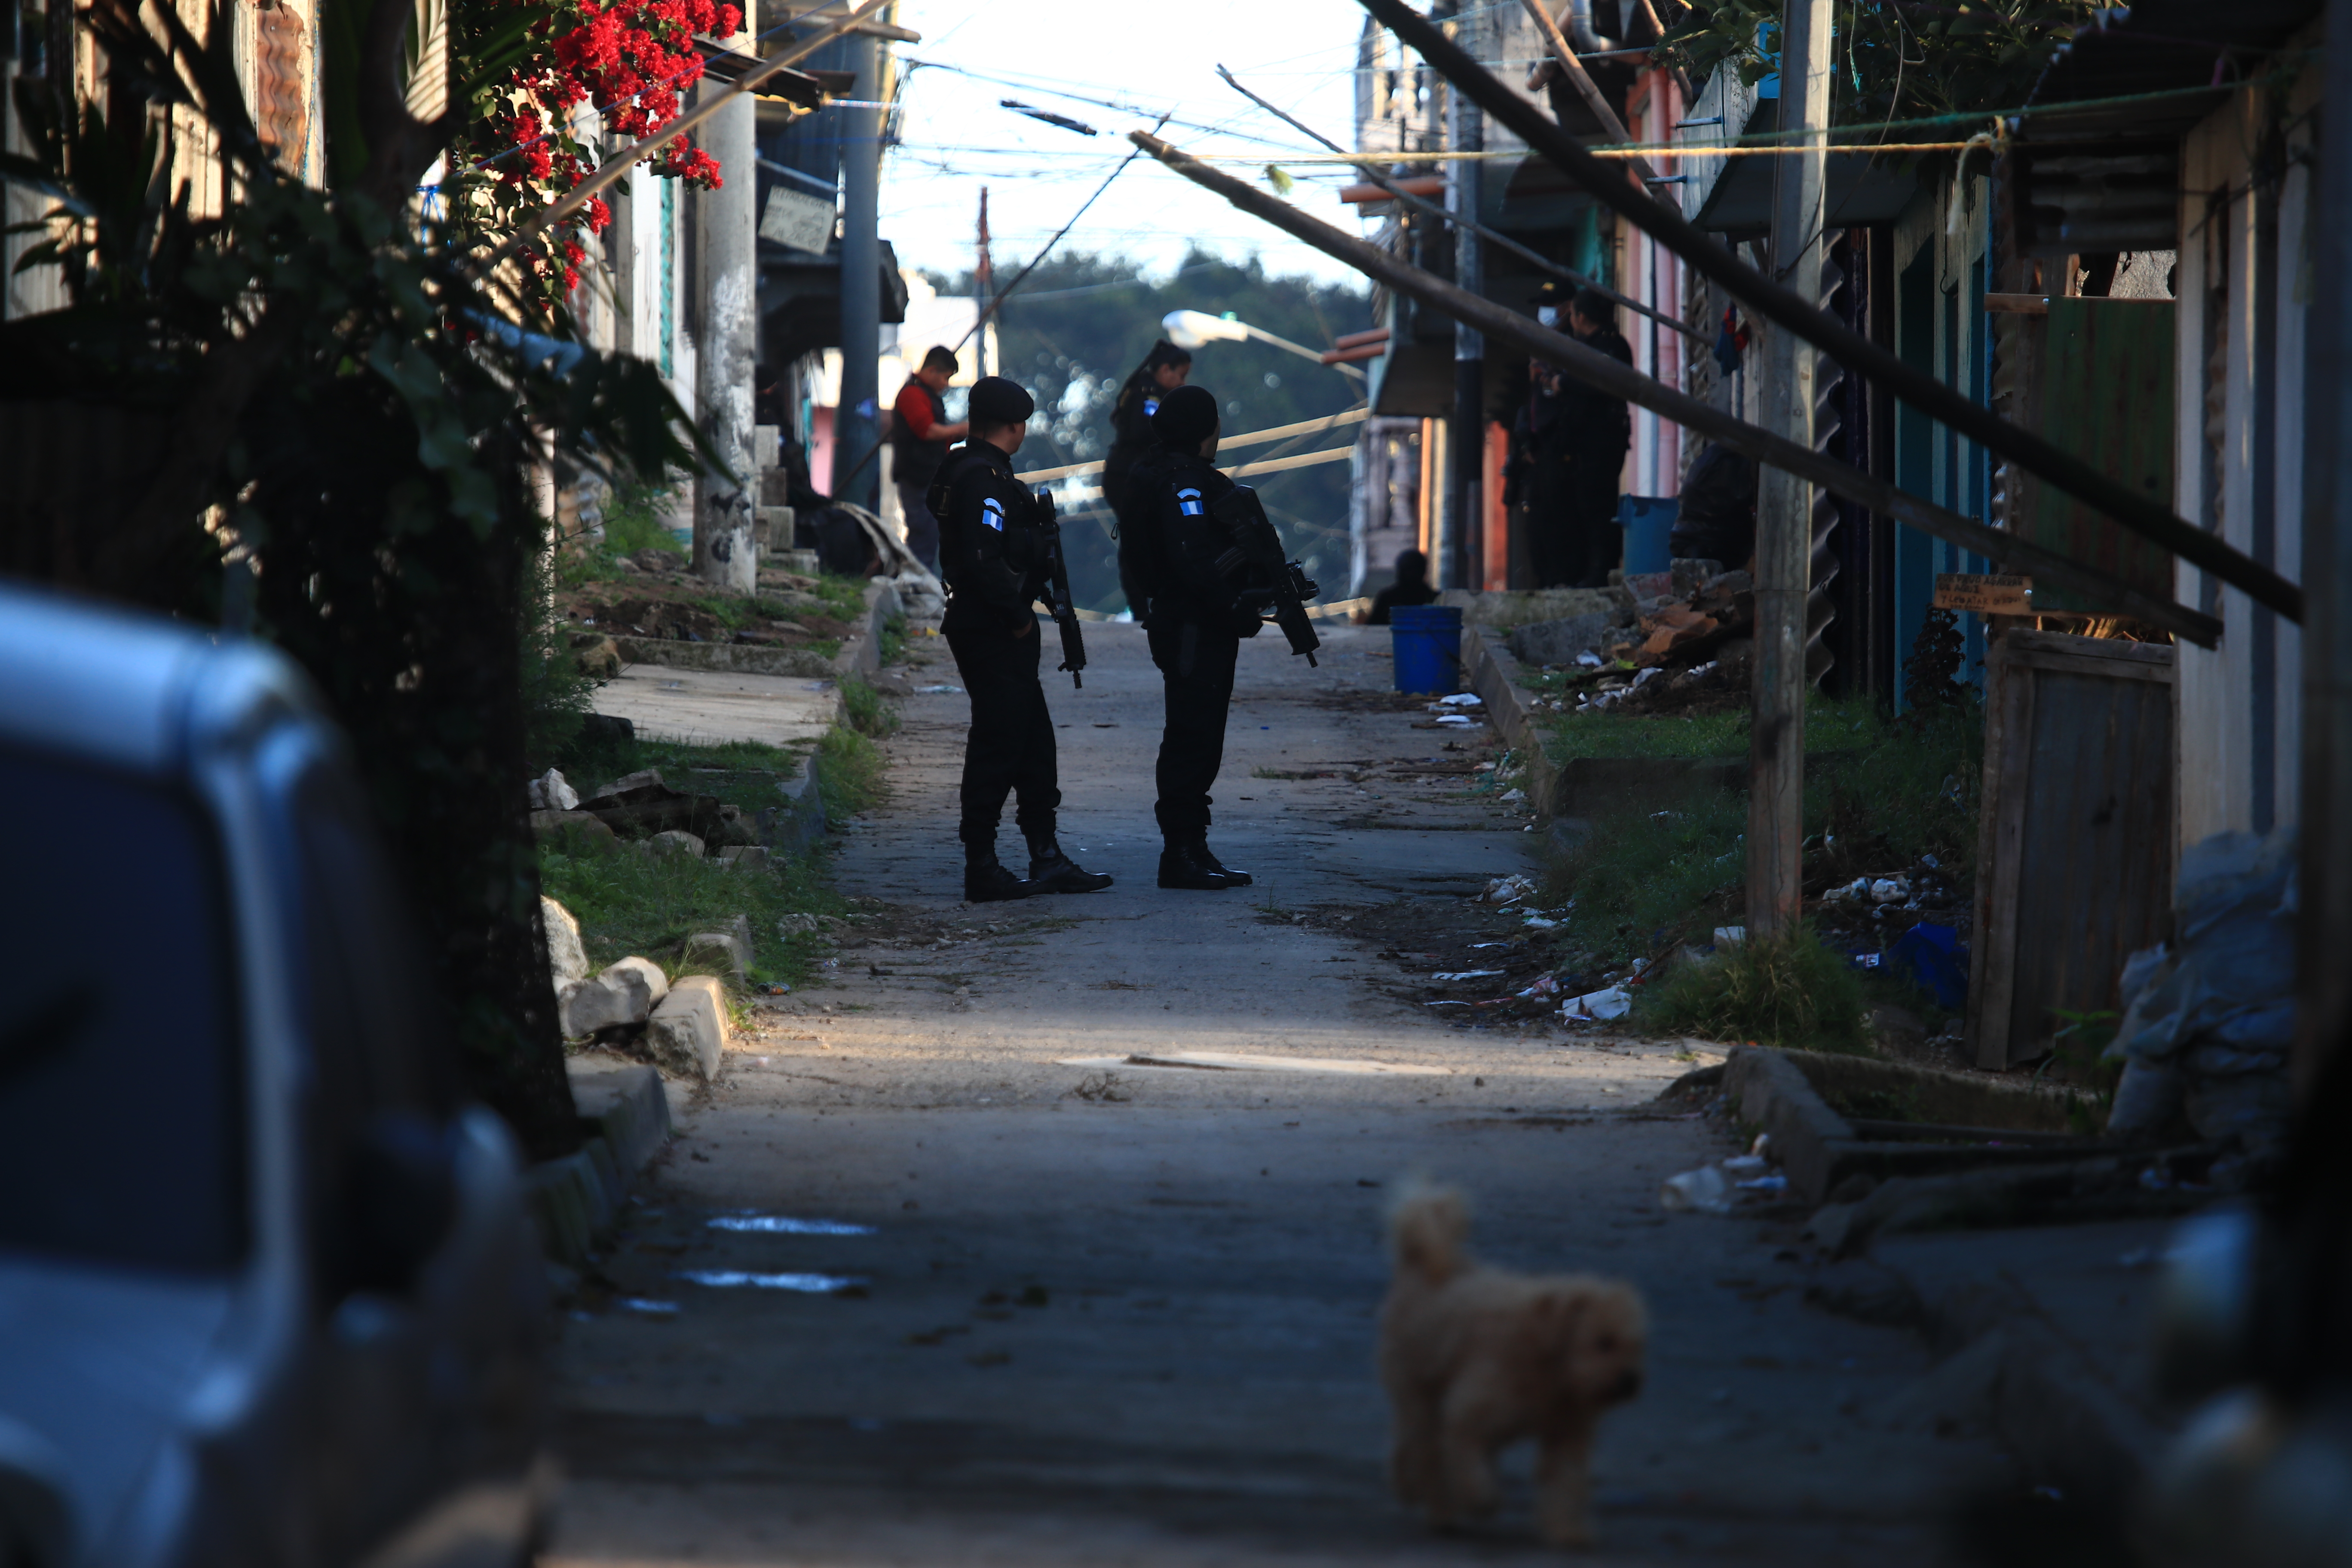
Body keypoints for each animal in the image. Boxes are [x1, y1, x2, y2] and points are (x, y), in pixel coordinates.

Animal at [1373, 1189, 1646, 1542]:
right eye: (1604, 1342)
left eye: (1637, 1346)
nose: (1629, 1381)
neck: (1545, 1353)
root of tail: (1419, 1260)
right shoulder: (1468, 1413)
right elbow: (1465, 1458)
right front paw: (1481, 1499)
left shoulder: (1566, 1432)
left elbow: (1565, 1483)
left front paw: (1568, 1532)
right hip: (1419, 1391)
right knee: (1422, 1446)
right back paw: (1433, 1505)